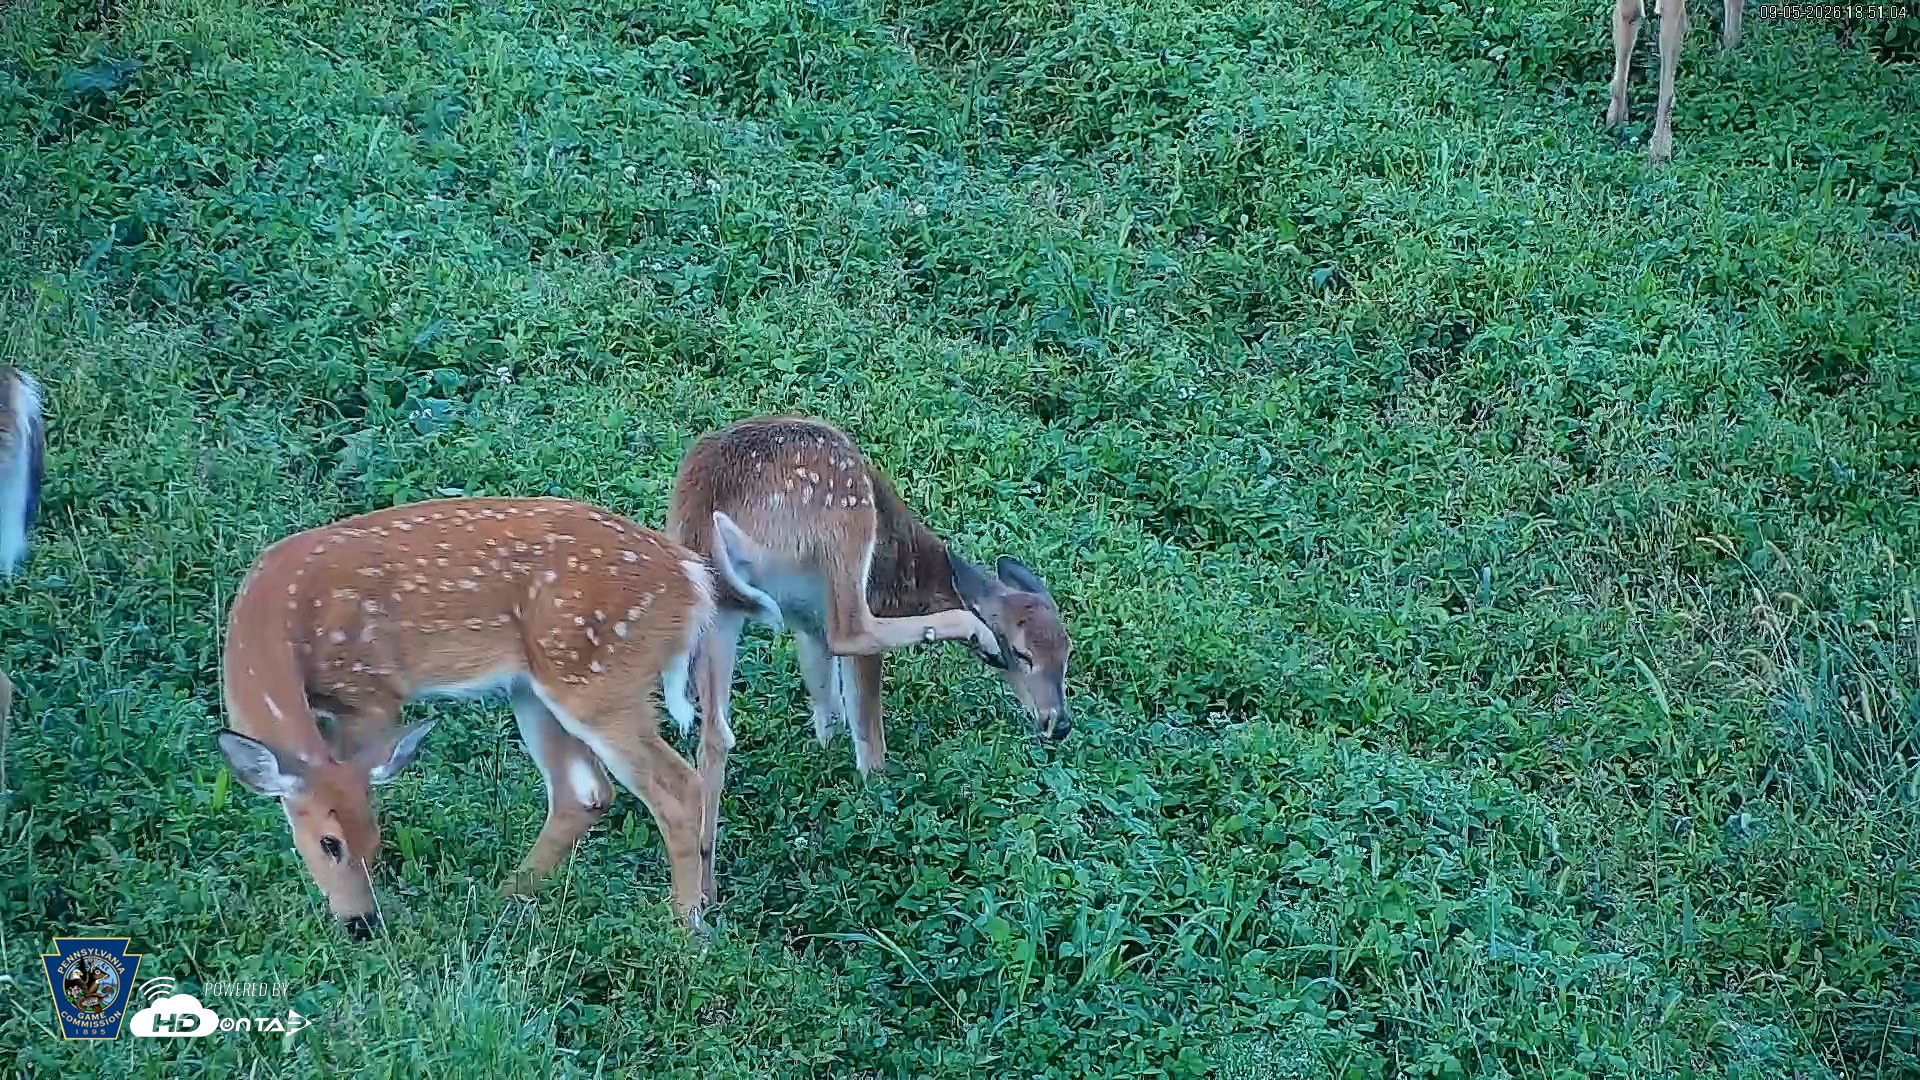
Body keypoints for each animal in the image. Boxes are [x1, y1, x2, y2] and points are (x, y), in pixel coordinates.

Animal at [215, 497, 719, 938]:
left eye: (371, 840)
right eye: (330, 843)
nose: (362, 923)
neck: (279, 621)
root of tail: (692, 580)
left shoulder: (370, 693)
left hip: (598, 680)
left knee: (676, 786)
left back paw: (685, 925)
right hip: (534, 687)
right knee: (585, 791)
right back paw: (505, 896)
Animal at [665, 416, 1074, 904]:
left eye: (1068, 655)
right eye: (1023, 654)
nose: (1059, 722)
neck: (912, 580)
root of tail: (702, 509)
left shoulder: (806, 624)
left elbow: (826, 705)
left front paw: (827, 763)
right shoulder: (844, 607)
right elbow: (859, 711)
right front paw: (875, 792)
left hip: (720, 608)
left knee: (714, 736)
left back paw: (699, 901)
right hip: (845, 512)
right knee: (853, 631)